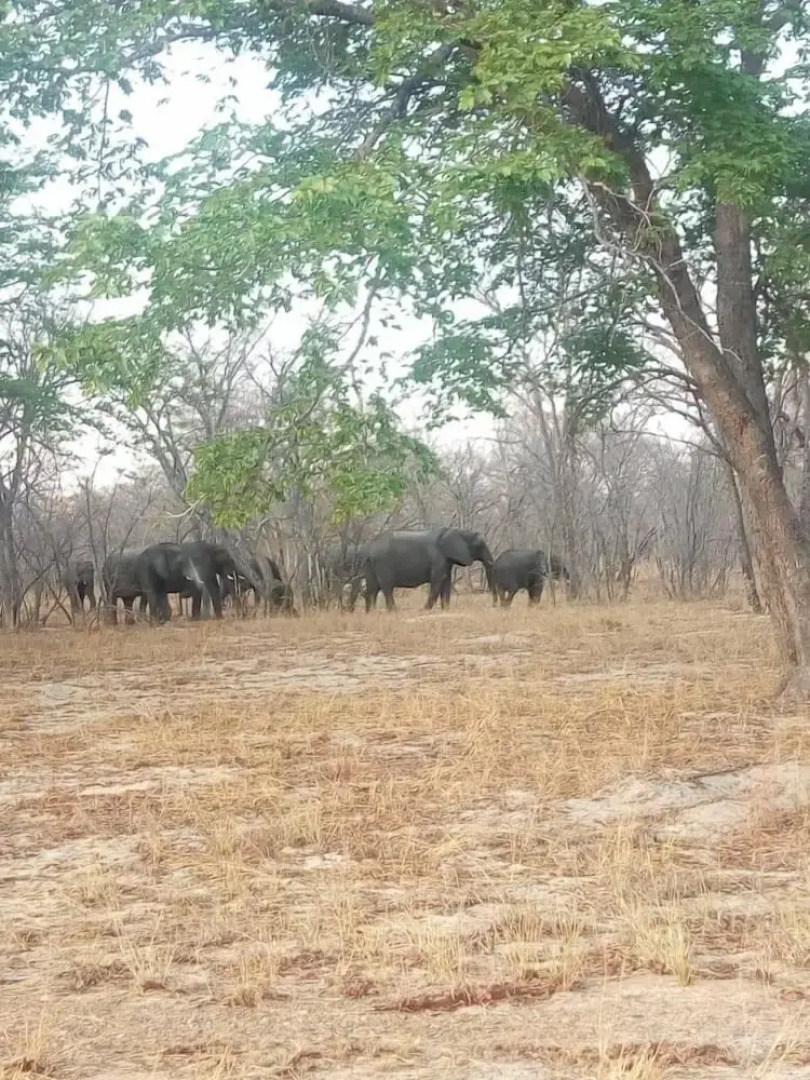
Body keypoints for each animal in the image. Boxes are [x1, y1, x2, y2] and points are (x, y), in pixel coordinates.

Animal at [362, 527, 496, 612]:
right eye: (479, 545)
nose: (494, 606)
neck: (461, 531)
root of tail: (370, 547)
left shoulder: (446, 560)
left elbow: (446, 582)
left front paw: (446, 610)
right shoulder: (439, 558)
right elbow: (437, 581)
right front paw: (424, 610)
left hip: (372, 564)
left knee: (373, 588)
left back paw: (371, 612)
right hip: (382, 562)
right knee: (386, 587)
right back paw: (394, 611)